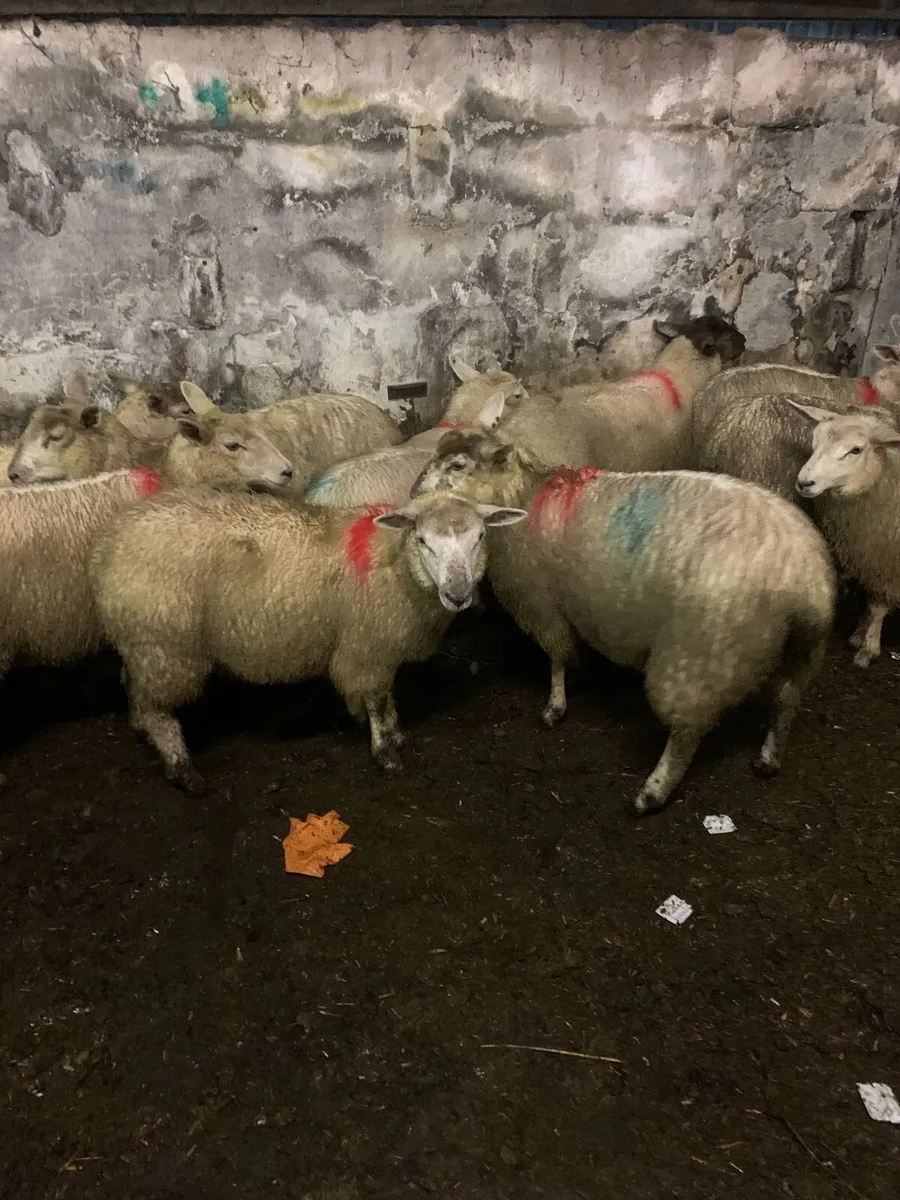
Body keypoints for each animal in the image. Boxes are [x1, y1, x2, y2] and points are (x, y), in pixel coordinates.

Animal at [90, 488, 526, 792]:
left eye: (480, 537)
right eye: (422, 540)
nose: (459, 593)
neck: (394, 565)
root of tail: (110, 542)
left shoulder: (382, 648)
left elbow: (387, 696)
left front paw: (396, 731)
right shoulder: (368, 646)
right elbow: (375, 699)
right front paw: (385, 752)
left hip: (145, 645)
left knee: (135, 687)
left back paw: (141, 729)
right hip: (166, 642)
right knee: (158, 709)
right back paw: (182, 769)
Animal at [412, 430, 835, 816]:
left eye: (457, 466)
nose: (415, 491)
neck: (521, 496)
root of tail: (803, 580)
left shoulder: (543, 604)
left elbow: (557, 656)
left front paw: (556, 704)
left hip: (700, 653)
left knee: (686, 732)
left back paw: (653, 791)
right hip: (804, 651)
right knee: (786, 701)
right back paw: (768, 758)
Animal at [792, 402, 900, 668]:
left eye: (856, 450)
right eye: (815, 441)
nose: (804, 483)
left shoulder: (887, 560)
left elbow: (877, 606)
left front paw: (868, 649)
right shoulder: (867, 552)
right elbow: (867, 602)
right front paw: (859, 635)